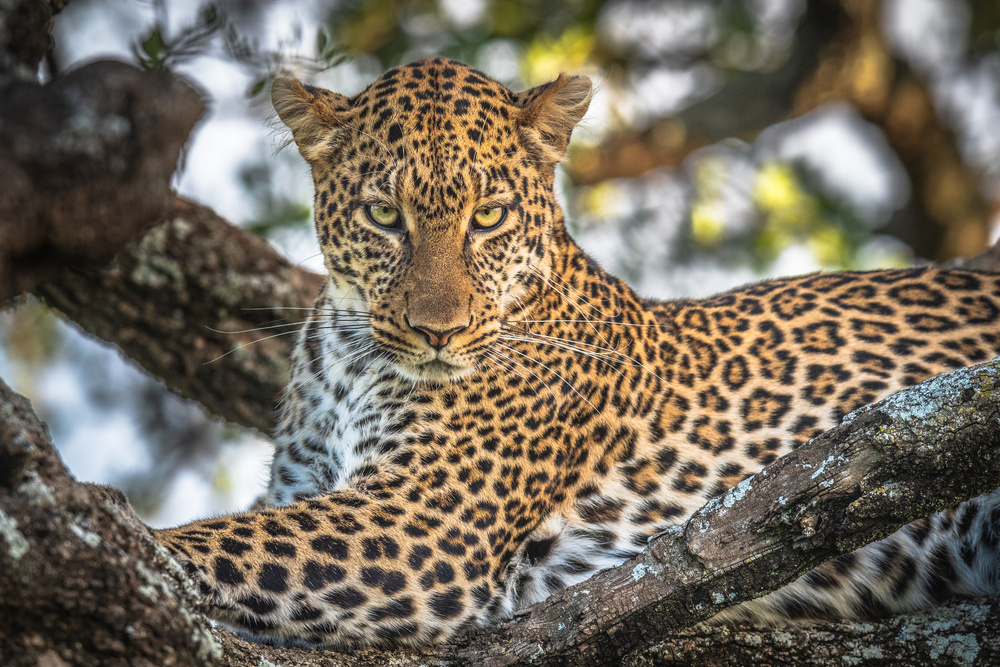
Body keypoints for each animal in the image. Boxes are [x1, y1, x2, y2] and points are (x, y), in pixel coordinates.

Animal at [156, 57, 1000, 648]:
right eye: (384, 216)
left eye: (489, 216)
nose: (438, 330)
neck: (350, 358)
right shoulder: (304, 485)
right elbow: (240, 531)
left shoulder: (422, 519)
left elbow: (218, 542)